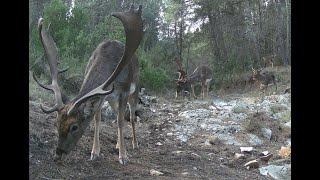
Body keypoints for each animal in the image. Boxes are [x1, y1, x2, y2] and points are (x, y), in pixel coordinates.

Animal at [31, 4, 143, 165]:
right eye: (56, 123)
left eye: (74, 127)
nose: (58, 154)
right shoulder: (103, 95)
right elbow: (97, 120)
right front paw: (95, 152)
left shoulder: (124, 91)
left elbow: (121, 122)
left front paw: (123, 156)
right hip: (112, 99)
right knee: (117, 114)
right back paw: (117, 144)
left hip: (134, 92)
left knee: (131, 117)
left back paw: (134, 143)